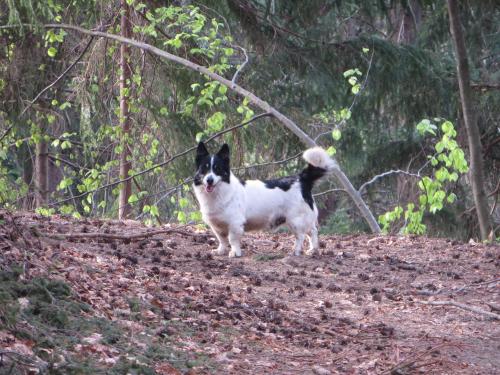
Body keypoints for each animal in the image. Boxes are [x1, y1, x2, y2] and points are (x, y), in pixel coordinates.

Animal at [193, 142, 338, 258]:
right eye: (204, 168)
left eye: (217, 169)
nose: (209, 180)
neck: (219, 193)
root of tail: (301, 179)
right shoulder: (217, 226)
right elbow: (222, 240)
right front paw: (220, 251)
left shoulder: (235, 224)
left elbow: (232, 240)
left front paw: (235, 252)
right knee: (312, 231)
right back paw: (313, 250)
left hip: (296, 220)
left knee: (301, 236)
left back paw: (296, 251)